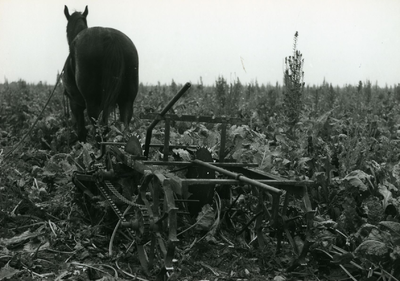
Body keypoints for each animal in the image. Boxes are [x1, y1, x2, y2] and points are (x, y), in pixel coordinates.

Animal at [61, 6, 138, 142]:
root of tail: (110, 37)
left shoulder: (75, 103)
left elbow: (82, 132)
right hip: (127, 100)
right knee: (124, 128)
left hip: (93, 103)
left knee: (100, 131)